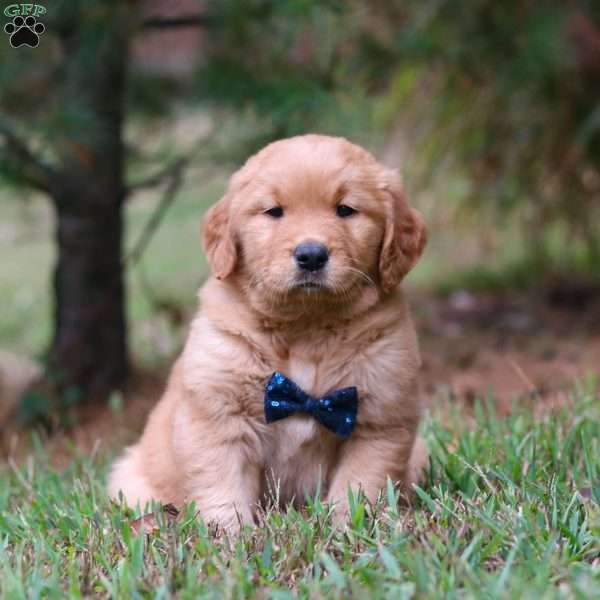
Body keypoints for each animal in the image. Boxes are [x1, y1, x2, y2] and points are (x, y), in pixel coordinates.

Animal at [108, 134, 426, 528]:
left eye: (346, 209)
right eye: (274, 211)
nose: (311, 255)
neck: (306, 327)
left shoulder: (381, 420)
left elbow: (360, 483)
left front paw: (350, 526)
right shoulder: (217, 416)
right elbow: (222, 485)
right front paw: (229, 533)